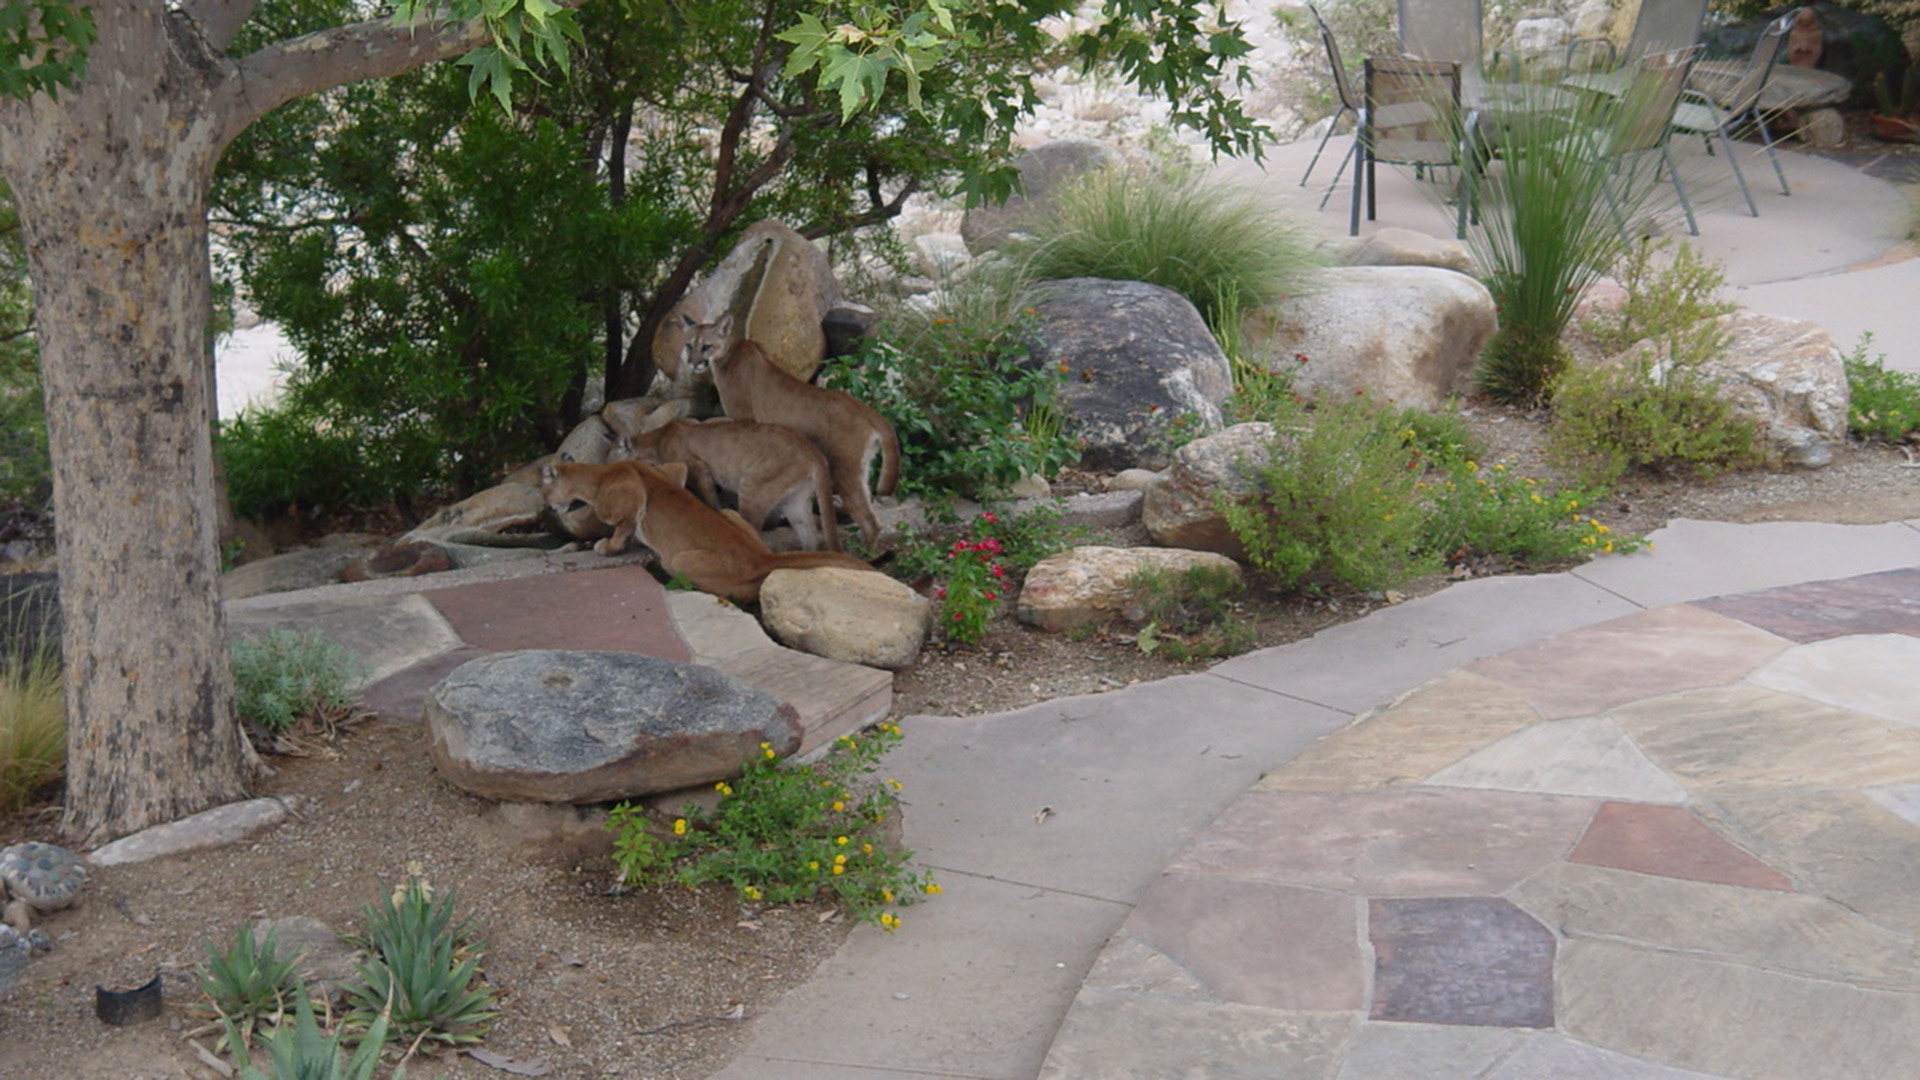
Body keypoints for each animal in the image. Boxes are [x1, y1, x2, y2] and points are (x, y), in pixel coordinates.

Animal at [537, 455, 875, 607]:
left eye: (543, 491)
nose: (546, 509)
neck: (596, 474)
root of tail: (762, 557)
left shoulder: (630, 493)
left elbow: (624, 524)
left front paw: (606, 545)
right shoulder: (673, 469)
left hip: (680, 560)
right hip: (729, 513)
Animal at [614, 411, 840, 545]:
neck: (659, 437)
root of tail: (814, 453)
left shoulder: (697, 467)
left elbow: (709, 497)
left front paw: (715, 514)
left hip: (752, 487)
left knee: (754, 531)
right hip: (794, 502)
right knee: (810, 536)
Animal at [683, 315, 898, 541]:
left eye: (706, 346)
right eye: (689, 345)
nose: (693, 364)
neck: (728, 351)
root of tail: (869, 411)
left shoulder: (743, 417)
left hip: (845, 471)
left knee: (871, 523)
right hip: (860, 470)